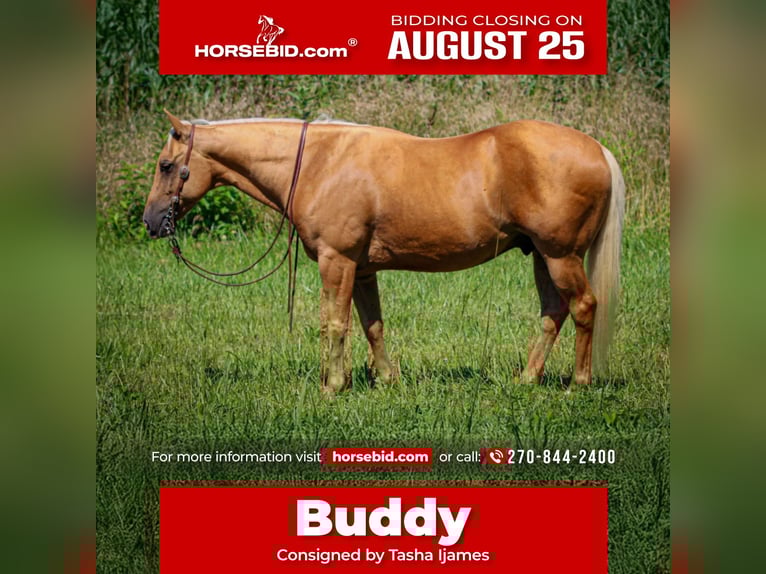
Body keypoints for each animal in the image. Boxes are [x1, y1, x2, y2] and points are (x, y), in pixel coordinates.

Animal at [143, 111, 625, 396]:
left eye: (166, 165)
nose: (150, 222)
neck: (320, 161)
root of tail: (598, 149)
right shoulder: (362, 269)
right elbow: (371, 324)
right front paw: (386, 378)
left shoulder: (337, 261)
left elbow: (334, 324)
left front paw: (332, 386)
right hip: (542, 256)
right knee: (553, 313)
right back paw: (526, 378)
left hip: (561, 255)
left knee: (583, 306)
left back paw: (579, 383)